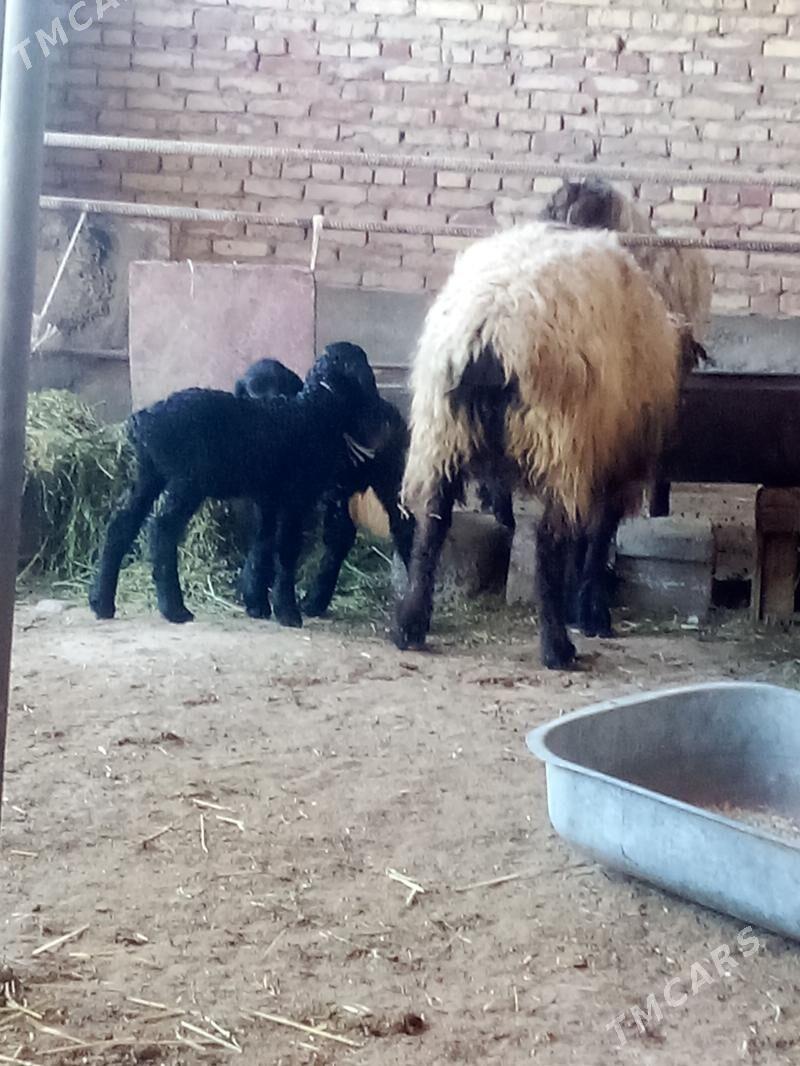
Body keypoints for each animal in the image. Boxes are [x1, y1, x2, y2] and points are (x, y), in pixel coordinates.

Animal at [89, 342, 382, 628]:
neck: (315, 409)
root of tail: (144, 421)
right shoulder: (295, 496)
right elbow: (287, 549)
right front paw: (287, 612)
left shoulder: (269, 496)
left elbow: (264, 541)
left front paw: (258, 603)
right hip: (188, 480)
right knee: (162, 529)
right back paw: (174, 609)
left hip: (149, 475)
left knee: (121, 524)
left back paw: (102, 602)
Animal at [234, 355, 415, 617]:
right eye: (252, 395)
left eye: (281, 395)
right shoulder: (265, 492)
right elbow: (263, 535)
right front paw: (256, 594)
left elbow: (285, 540)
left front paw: (281, 603)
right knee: (345, 532)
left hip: (384, 470)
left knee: (397, 524)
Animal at [392, 221, 696, 669]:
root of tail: (491, 329)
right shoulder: (614, 465)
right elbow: (596, 539)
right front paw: (590, 613)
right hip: (559, 442)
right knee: (547, 541)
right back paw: (557, 648)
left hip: (441, 434)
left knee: (432, 525)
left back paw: (409, 626)